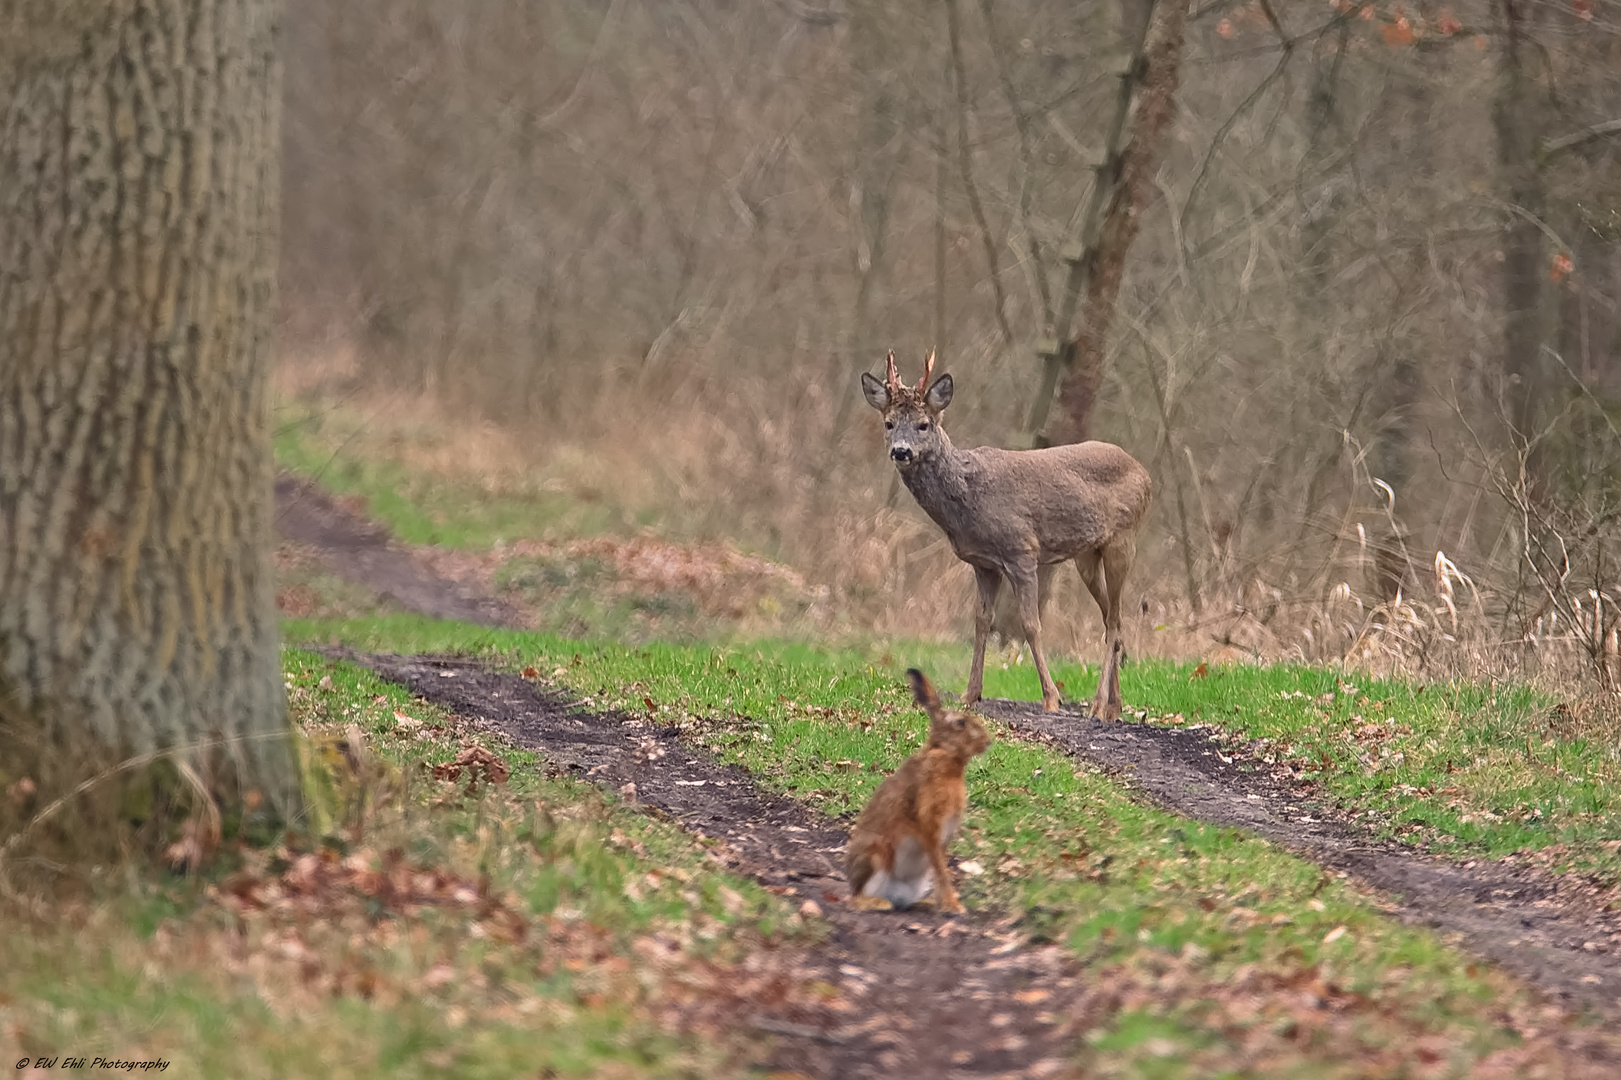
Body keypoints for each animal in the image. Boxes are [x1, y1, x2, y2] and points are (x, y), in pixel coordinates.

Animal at [862, 351, 1154, 713]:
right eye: (888, 423)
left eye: (923, 424)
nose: (901, 451)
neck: (969, 498)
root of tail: (1145, 474)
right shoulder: (984, 563)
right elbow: (981, 621)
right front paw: (970, 693)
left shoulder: (1022, 551)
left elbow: (1030, 625)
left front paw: (1051, 697)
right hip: (1087, 554)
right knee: (1111, 617)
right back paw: (1114, 706)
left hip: (1123, 540)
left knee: (1113, 620)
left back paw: (1098, 704)